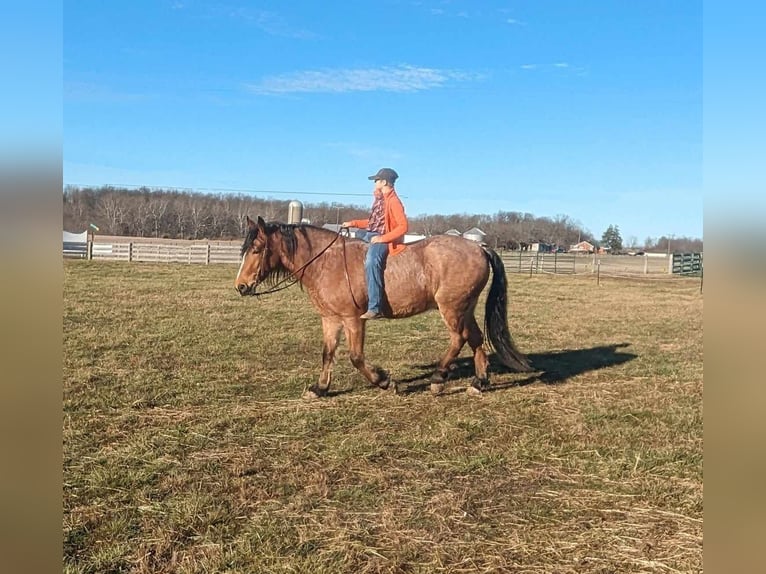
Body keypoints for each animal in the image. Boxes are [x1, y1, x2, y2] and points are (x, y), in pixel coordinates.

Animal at [236, 216, 536, 400]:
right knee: (474, 338)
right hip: (465, 307)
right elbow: (327, 354)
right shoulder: (330, 319)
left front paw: (384, 381)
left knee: (458, 338)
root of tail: (480, 248)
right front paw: (320, 388)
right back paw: (478, 382)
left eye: (257, 249)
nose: (240, 286)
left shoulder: (353, 319)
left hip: (451, 308)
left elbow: (356, 357)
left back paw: (438, 379)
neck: (326, 262)